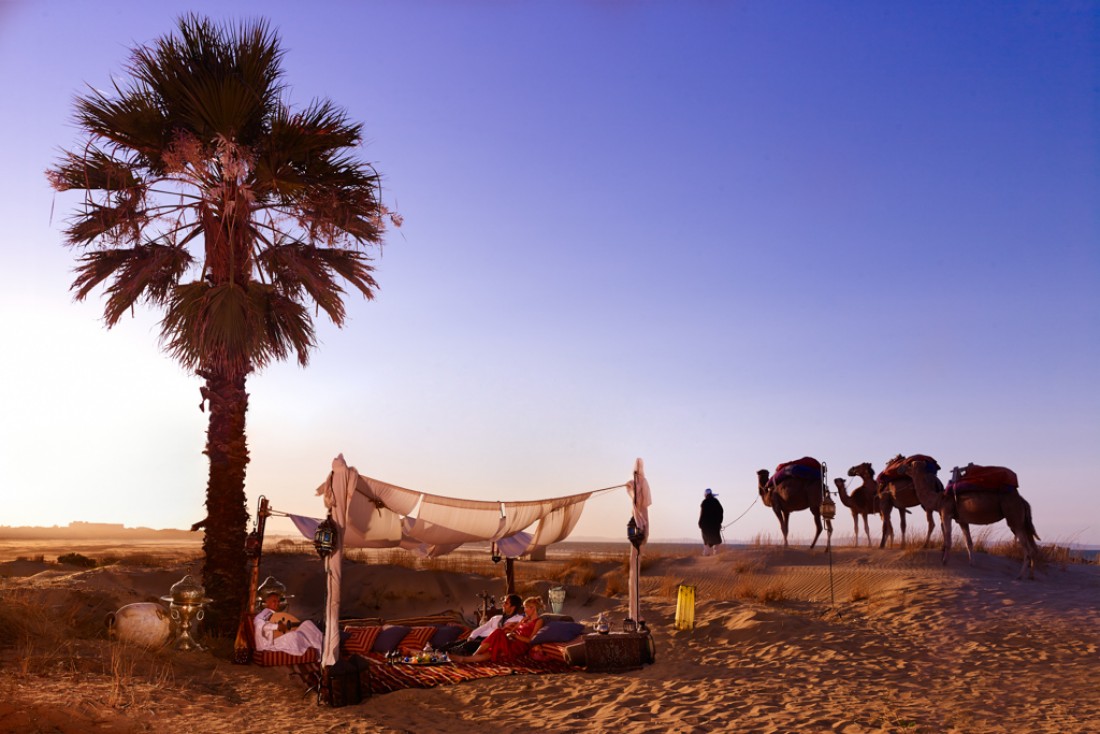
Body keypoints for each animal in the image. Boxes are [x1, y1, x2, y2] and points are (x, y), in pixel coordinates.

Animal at [893, 462, 1038, 576]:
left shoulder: (946, 513)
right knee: (1032, 546)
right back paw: (1031, 576)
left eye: (909, 464)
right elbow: (969, 542)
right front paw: (972, 563)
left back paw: (1020, 576)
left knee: (1027, 548)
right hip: (1021, 521)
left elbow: (948, 539)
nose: (900, 468)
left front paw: (944, 562)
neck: (938, 499)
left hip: (1014, 517)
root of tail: (1023, 501)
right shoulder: (962, 520)